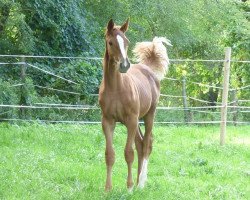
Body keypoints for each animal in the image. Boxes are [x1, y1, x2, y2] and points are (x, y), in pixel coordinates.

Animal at [98, 19, 171, 192]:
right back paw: (138, 181)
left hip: (148, 115)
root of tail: (148, 69)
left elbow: (128, 152)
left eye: (127, 42)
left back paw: (141, 183)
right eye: (110, 42)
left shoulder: (131, 119)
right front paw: (108, 188)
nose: (124, 65)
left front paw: (129, 187)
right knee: (140, 143)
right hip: (136, 120)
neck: (116, 88)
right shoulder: (107, 121)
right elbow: (109, 154)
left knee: (147, 144)